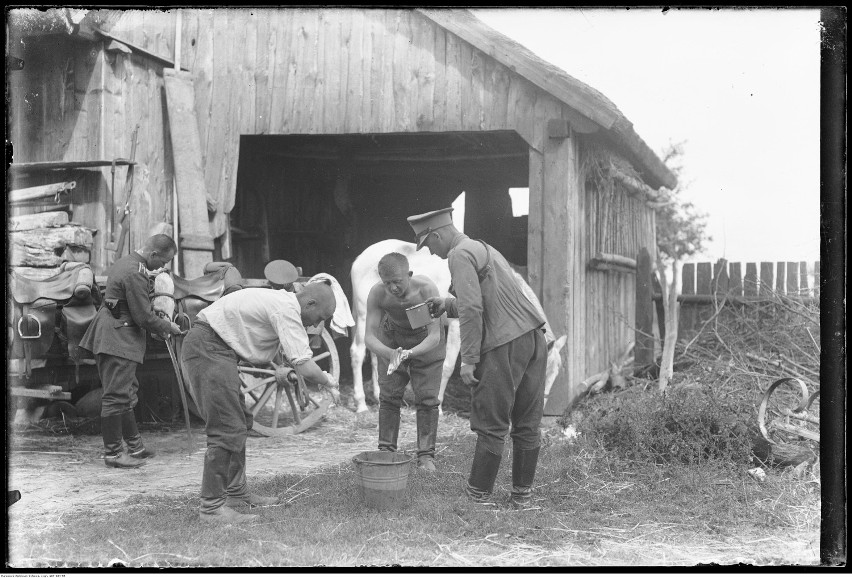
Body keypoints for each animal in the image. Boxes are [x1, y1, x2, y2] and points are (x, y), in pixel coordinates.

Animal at [346, 238, 564, 414]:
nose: (542, 408)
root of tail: (359, 259)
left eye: (556, 374)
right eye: (545, 371)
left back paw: (377, 396)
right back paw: (361, 404)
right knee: (358, 352)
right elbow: (448, 366)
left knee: (377, 354)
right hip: (365, 316)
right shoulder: (457, 327)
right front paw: (440, 407)